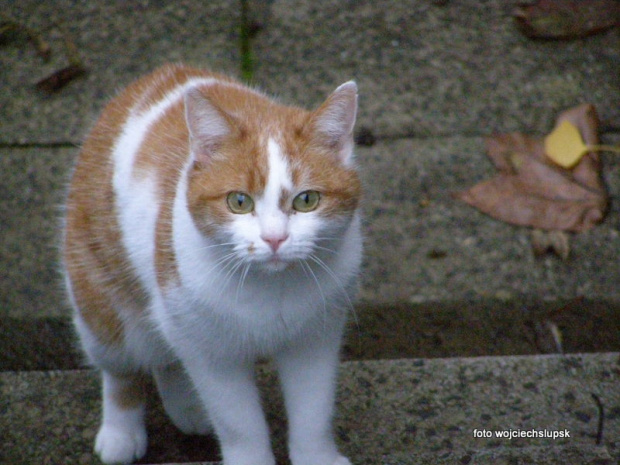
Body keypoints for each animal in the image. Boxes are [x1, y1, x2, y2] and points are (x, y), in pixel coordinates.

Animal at [61, 64, 364, 464]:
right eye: (239, 202)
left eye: (307, 200)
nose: (275, 238)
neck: (271, 289)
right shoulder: (213, 356)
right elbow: (240, 424)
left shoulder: (315, 340)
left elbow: (314, 413)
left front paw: (317, 457)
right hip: (102, 304)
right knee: (122, 367)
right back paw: (120, 432)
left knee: (167, 355)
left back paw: (187, 408)